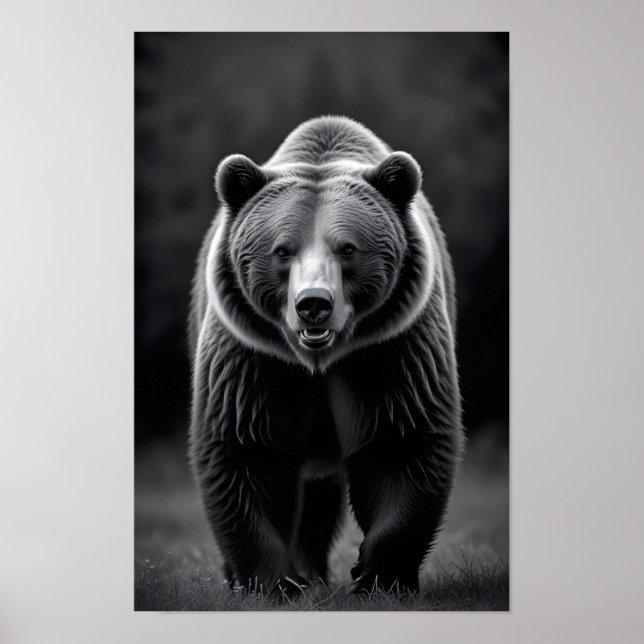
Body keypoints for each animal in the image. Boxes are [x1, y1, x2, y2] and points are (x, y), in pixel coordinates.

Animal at [188, 115, 464, 596]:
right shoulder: (254, 355)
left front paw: (379, 576)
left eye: (348, 248)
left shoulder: (390, 347)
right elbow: (247, 448)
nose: (313, 303)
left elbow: (401, 440)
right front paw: (275, 582)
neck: (319, 360)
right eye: (282, 250)